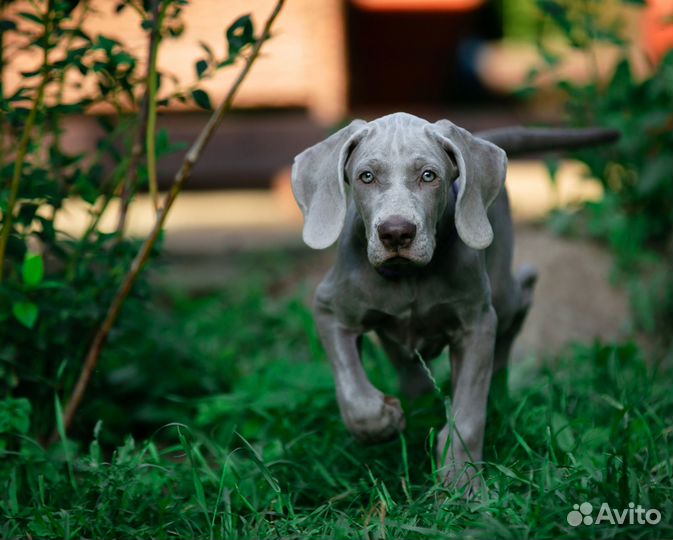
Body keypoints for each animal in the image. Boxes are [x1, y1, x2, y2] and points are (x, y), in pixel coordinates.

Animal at [292, 112, 616, 488]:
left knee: (519, 301)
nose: (396, 232)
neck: (410, 277)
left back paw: (500, 385)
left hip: (500, 287)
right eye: (366, 176)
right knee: (411, 370)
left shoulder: (476, 325)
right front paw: (384, 421)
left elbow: (468, 416)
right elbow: (354, 395)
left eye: (429, 175)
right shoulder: (330, 309)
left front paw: (463, 483)